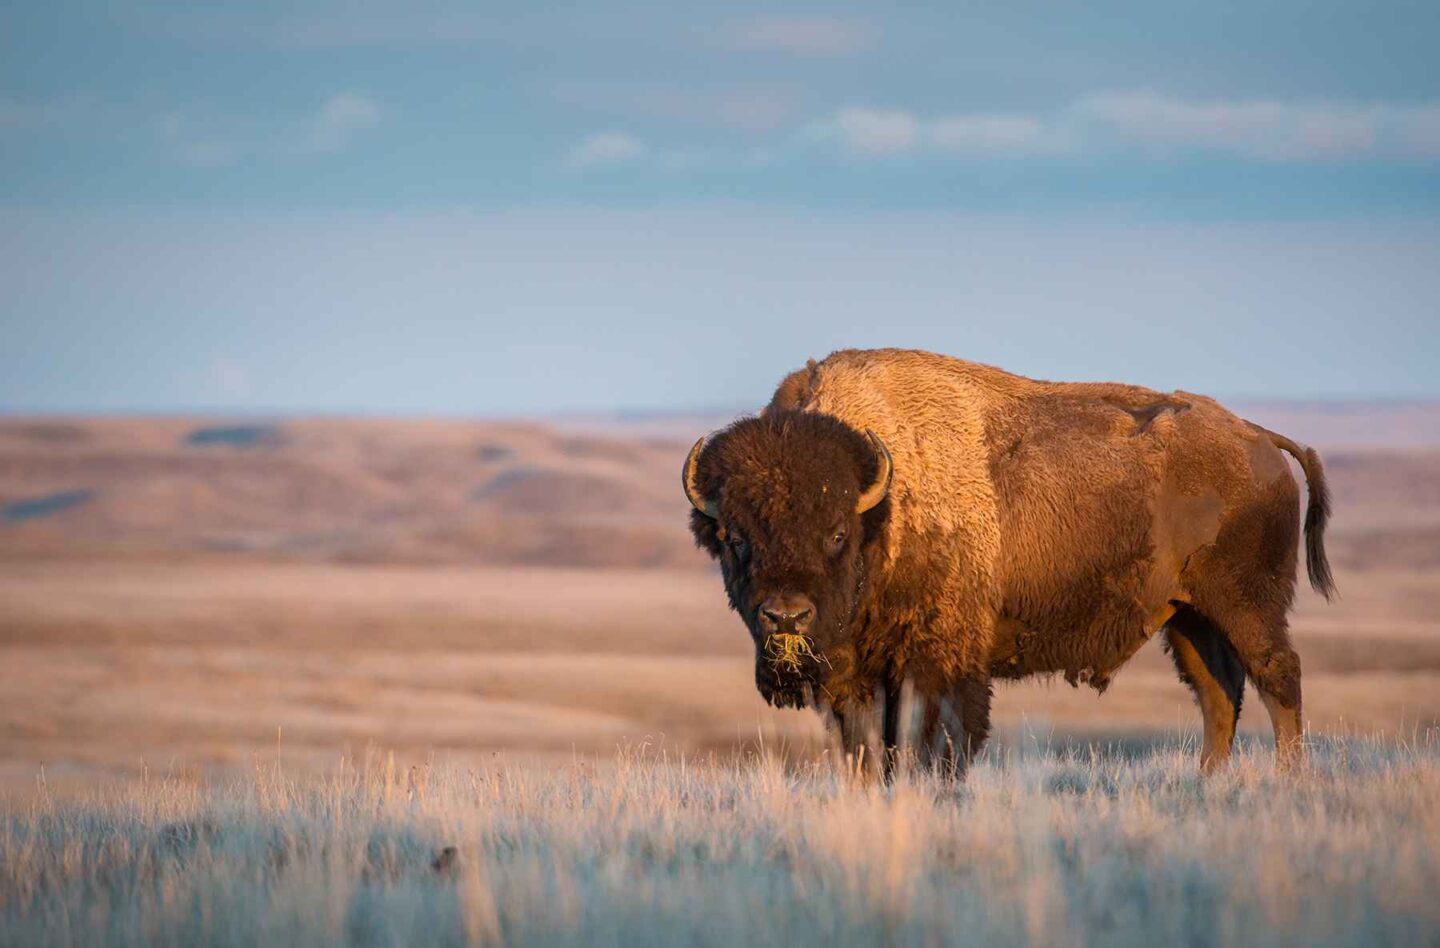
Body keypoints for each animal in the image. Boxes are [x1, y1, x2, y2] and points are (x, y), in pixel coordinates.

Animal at [679, 347, 1330, 777]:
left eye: (837, 533)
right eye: (735, 537)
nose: (786, 617)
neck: (883, 506)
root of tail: (1259, 438)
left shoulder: (937, 662)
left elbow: (933, 740)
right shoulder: (855, 675)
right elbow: (866, 748)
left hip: (1247, 604)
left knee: (1279, 677)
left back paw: (1287, 781)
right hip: (1188, 616)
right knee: (1219, 694)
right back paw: (1207, 782)